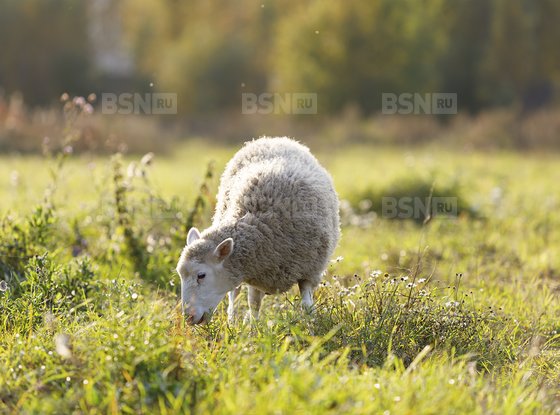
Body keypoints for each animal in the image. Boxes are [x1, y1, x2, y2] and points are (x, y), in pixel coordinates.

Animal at [177, 136, 340, 324]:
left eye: (201, 275)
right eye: (180, 274)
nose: (189, 318)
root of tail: (272, 139)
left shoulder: (309, 271)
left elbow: (307, 306)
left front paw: (311, 326)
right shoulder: (256, 272)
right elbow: (253, 304)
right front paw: (252, 329)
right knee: (234, 295)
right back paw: (232, 321)